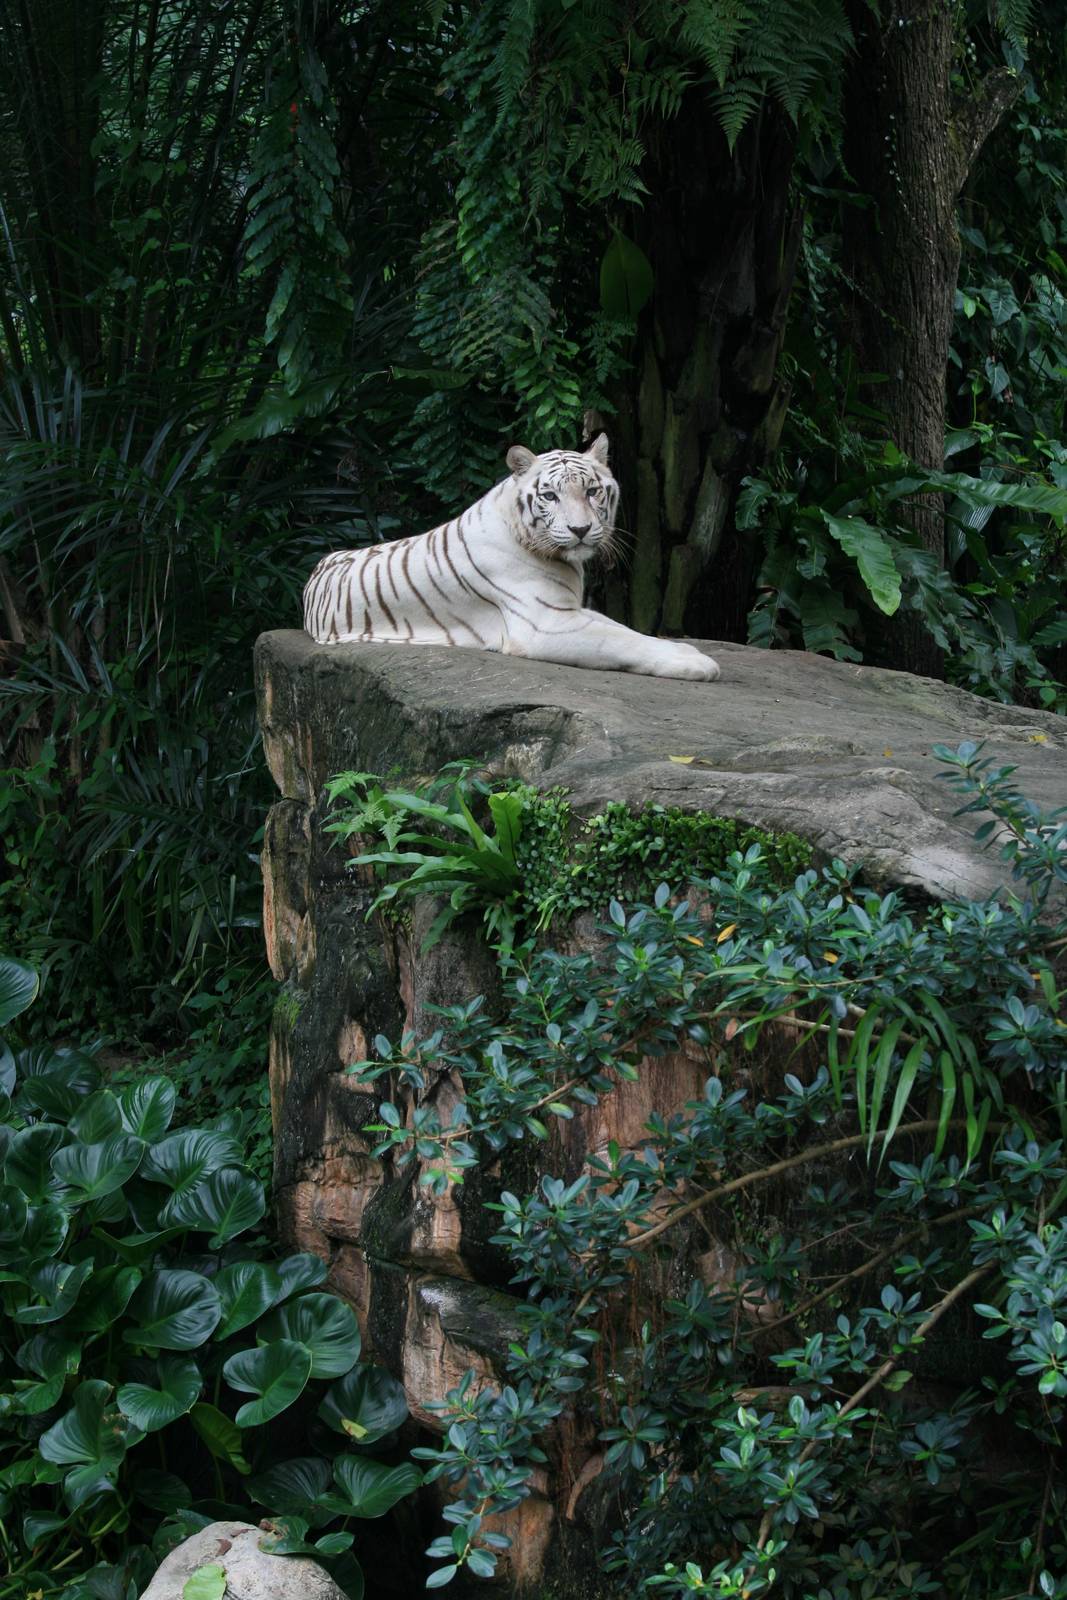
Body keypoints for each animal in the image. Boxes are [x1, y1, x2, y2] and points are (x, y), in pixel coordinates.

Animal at [302, 434, 720, 682]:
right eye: (550, 496)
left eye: (592, 491)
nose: (581, 529)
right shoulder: (545, 623)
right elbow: (619, 641)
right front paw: (698, 663)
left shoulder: (571, 608)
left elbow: (626, 630)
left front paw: (686, 649)